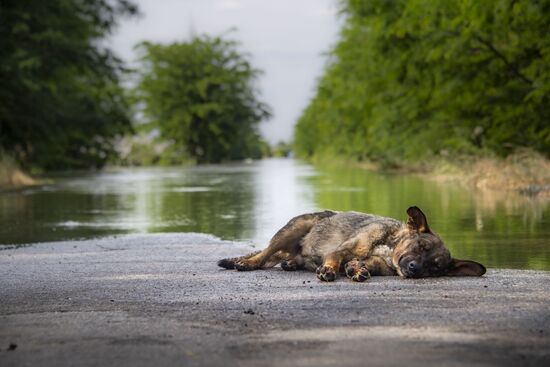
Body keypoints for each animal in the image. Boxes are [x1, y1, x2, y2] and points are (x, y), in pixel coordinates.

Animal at [219, 207, 488, 282]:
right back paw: (246, 262)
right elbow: (335, 259)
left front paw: (357, 270)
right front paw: (330, 270)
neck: (388, 249)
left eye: (435, 267)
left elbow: (359, 265)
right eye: (420, 246)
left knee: (286, 258)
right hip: (292, 230)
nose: (414, 269)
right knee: (264, 254)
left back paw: (291, 263)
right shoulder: (343, 250)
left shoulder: (371, 262)